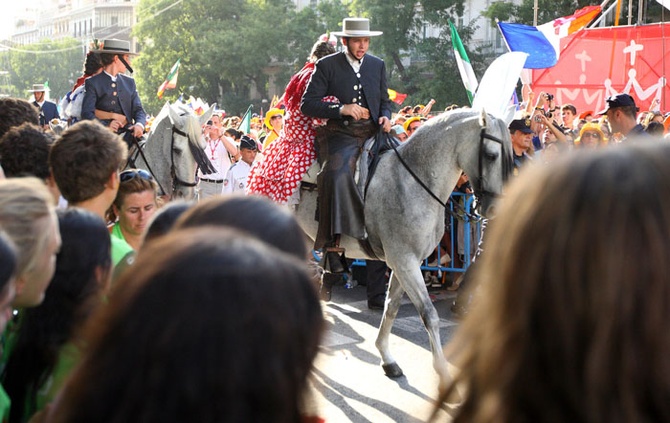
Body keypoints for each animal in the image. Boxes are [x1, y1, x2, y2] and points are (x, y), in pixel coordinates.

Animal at [296, 108, 516, 384]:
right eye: (491, 155)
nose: (497, 209)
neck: (414, 181)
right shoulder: (404, 262)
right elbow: (429, 314)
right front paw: (443, 372)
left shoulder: (406, 263)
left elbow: (391, 307)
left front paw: (387, 359)